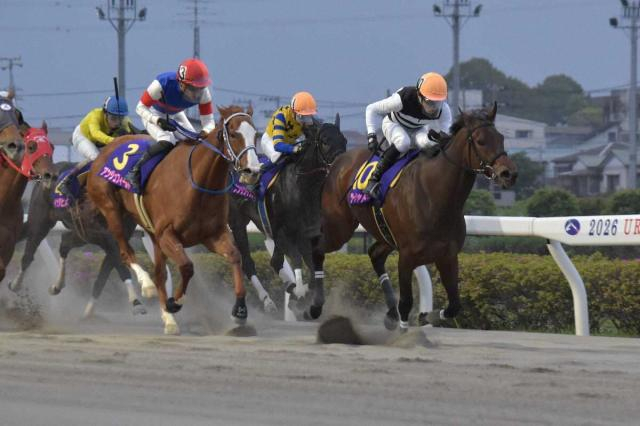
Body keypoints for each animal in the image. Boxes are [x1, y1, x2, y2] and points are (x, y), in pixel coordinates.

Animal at [9, 161, 144, 319]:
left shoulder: (111, 238)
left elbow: (102, 277)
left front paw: (88, 312)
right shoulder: (107, 238)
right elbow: (120, 266)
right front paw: (137, 302)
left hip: (80, 234)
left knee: (63, 243)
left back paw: (57, 286)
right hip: (40, 221)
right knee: (28, 256)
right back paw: (16, 284)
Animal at [87, 105, 261, 334]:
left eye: (256, 134)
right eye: (233, 133)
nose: (253, 171)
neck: (197, 183)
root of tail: (104, 151)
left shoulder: (213, 234)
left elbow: (235, 256)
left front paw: (240, 311)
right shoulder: (167, 234)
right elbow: (187, 267)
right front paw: (175, 302)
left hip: (149, 232)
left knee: (160, 273)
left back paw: (169, 320)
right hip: (112, 210)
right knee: (125, 251)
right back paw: (147, 286)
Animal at [228, 116, 347, 316]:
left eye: (344, 140)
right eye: (324, 141)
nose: (340, 166)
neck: (302, 188)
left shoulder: (307, 234)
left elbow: (313, 270)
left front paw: (303, 293)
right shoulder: (285, 232)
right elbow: (297, 259)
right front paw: (299, 291)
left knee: (276, 261)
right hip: (238, 223)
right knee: (248, 263)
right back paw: (268, 301)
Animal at [308, 103, 518, 329]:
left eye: (501, 138)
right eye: (481, 141)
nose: (509, 174)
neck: (435, 197)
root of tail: (337, 162)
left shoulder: (447, 256)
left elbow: (454, 305)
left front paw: (426, 316)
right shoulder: (407, 257)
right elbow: (407, 302)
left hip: (383, 233)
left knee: (375, 254)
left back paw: (390, 312)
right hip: (339, 227)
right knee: (317, 249)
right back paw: (314, 306)